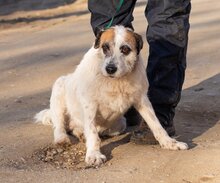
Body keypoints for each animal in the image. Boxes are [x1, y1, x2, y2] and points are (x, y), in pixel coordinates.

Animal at [35, 26, 188, 167]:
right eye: (105, 47)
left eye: (125, 49)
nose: (110, 69)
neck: (116, 81)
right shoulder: (89, 105)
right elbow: (92, 132)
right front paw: (94, 154)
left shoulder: (142, 100)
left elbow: (156, 125)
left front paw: (169, 143)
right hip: (59, 87)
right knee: (59, 125)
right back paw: (62, 138)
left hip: (119, 124)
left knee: (77, 129)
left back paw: (81, 133)